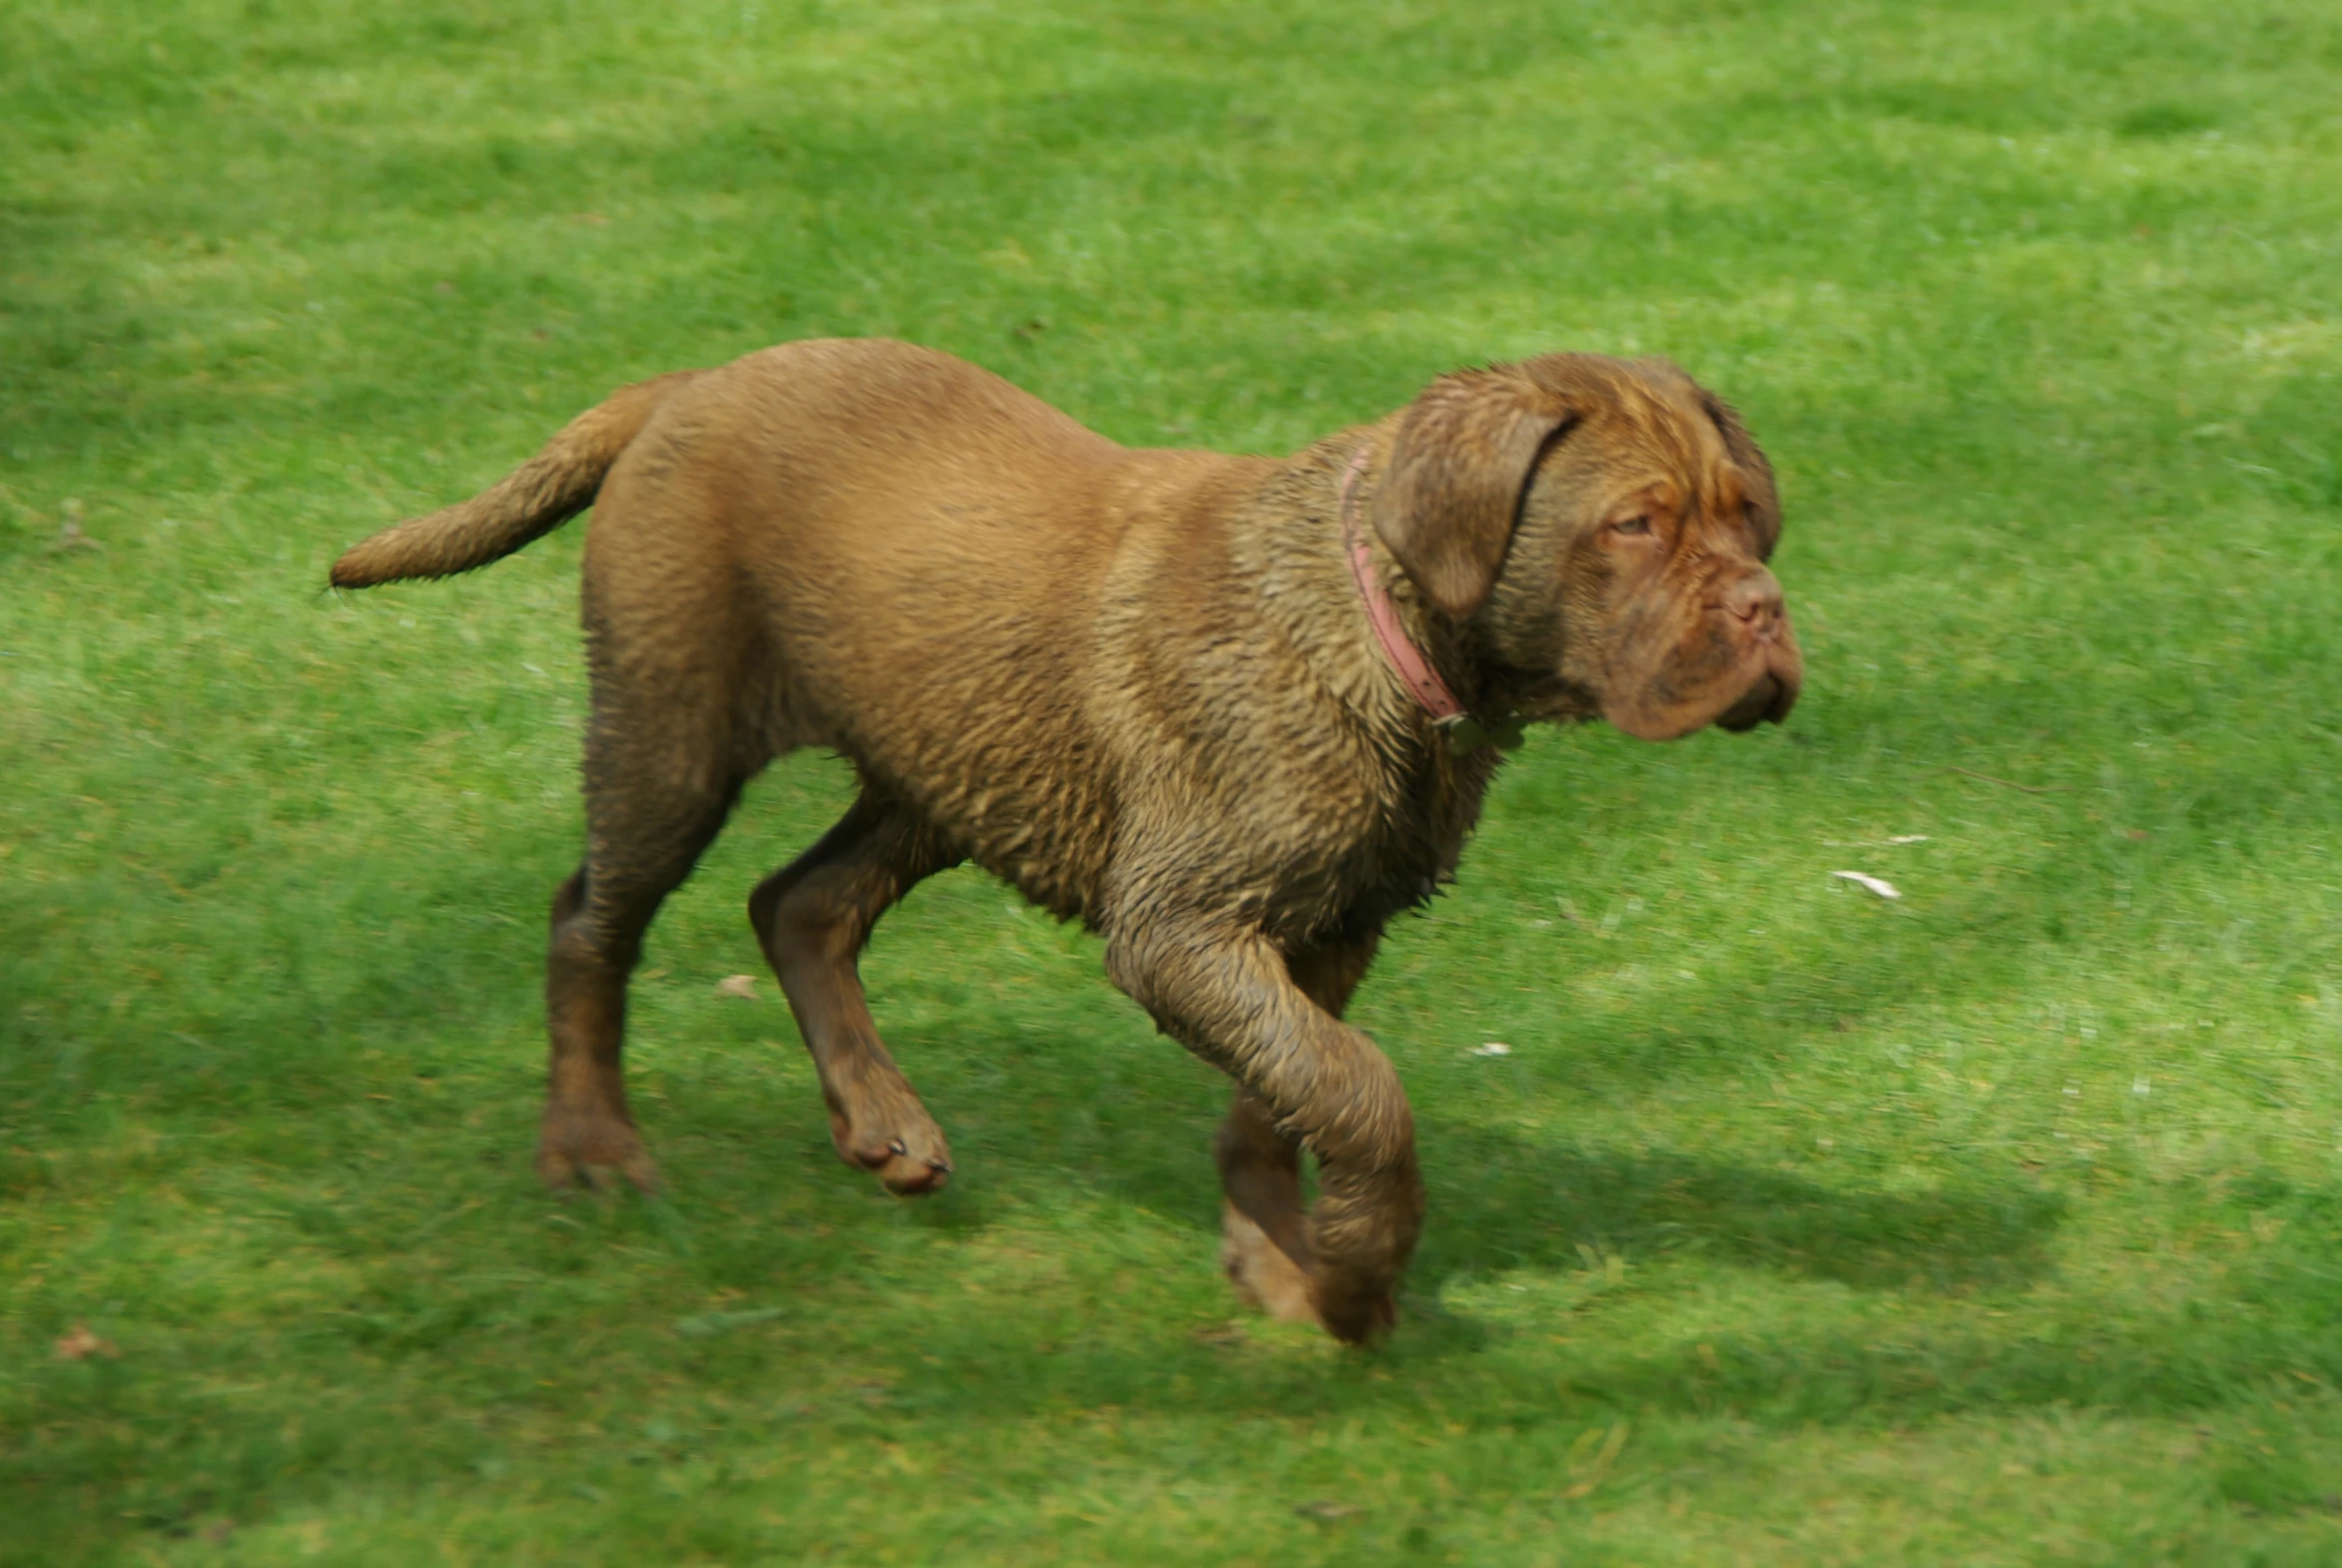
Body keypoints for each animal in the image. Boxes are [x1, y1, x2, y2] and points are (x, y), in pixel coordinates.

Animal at [330, 337, 1798, 1347]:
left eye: (1747, 517)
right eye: (1633, 525)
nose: (1767, 609)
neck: (1371, 624)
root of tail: (689, 382)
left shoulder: (1324, 922)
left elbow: (1287, 1094)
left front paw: (1283, 1256)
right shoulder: (1183, 923)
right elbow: (1359, 1093)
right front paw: (1358, 1273)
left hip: (946, 764)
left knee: (799, 903)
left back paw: (880, 1118)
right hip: (671, 730)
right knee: (592, 922)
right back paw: (591, 1148)